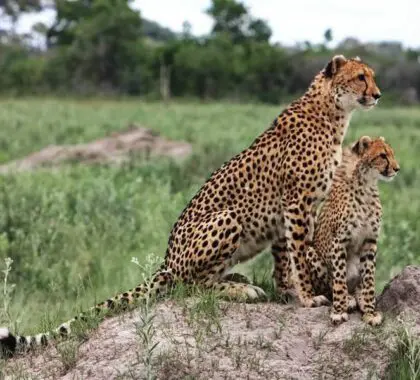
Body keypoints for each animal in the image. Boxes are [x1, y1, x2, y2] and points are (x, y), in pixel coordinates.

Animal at [0, 54, 380, 356]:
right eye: (361, 76)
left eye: (371, 76)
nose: (377, 94)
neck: (332, 112)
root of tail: (166, 261)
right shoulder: (297, 203)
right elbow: (298, 254)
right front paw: (307, 297)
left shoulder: (287, 212)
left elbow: (284, 257)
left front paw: (288, 290)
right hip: (228, 219)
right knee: (192, 287)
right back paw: (240, 288)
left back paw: (238, 277)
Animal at [306, 135, 400, 326]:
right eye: (382, 156)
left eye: (391, 154)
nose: (397, 169)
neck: (365, 183)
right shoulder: (339, 241)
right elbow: (339, 279)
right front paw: (339, 311)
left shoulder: (370, 240)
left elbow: (369, 279)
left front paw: (370, 312)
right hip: (310, 252)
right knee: (329, 286)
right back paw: (348, 299)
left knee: (358, 285)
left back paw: (359, 297)